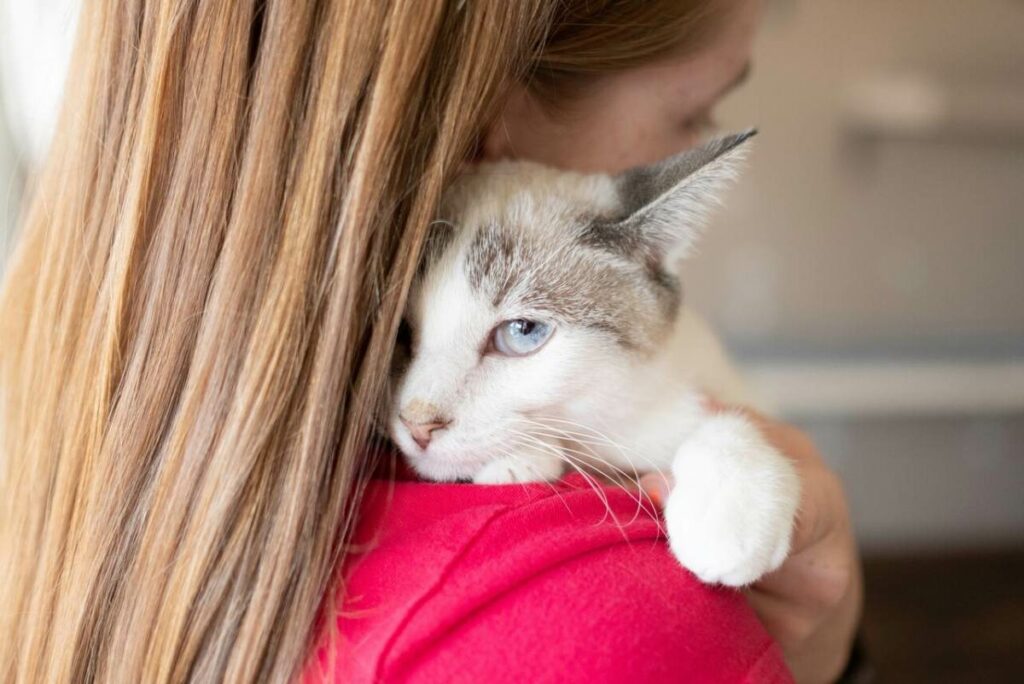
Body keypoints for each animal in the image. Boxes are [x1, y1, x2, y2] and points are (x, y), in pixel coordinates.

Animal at [387, 131, 794, 585]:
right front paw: (521, 460)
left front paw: (727, 521)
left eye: (522, 332)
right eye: (399, 332)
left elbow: (720, 422)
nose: (418, 423)